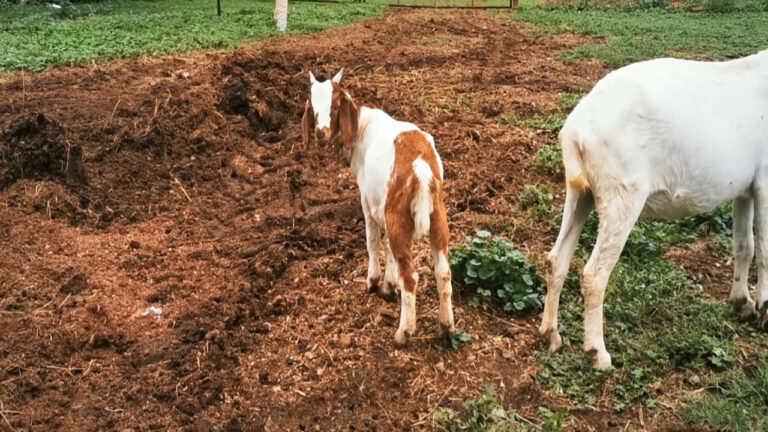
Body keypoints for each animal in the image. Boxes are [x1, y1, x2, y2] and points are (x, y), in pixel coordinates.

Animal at [302, 68, 456, 348]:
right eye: (312, 105)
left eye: (335, 104)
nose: (321, 133)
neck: (362, 127)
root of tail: (421, 168)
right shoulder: (382, 207)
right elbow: (388, 247)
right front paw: (389, 285)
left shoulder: (367, 199)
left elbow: (373, 240)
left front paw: (374, 282)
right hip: (437, 215)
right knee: (443, 272)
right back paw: (447, 327)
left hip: (399, 213)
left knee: (411, 276)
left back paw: (404, 332)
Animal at [540, 50, 768, 368]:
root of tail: (575, 129)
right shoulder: (765, 181)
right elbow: (765, 250)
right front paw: (764, 310)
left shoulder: (745, 189)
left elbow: (744, 246)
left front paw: (742, 304)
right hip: (622, 195)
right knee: (594, 274)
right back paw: (598, 354)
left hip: (580, 192)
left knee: (556, 259)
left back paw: (551, 335)